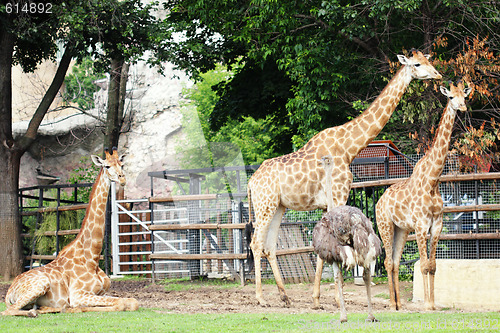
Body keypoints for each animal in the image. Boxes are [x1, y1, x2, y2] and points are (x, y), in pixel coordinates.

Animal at [2, 148, 139, 316]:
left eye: (121, 164)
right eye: (106, 166)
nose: (122, 179)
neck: (92, 258)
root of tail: (9, 290)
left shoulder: (101, 292)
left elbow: (132, 301)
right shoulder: (78, 294)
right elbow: (121, 303)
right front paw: (77, 308)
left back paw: (46, 309)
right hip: (40, 284)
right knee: (8, 311)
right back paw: (37, 312)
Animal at [247, 49, 442, 306]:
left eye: (429, 60)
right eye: (418, 64)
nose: (438, 74)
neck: (350, 148)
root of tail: (251, 182)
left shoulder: (327, 203)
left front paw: (318, 299)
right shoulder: (338, 195)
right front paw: (335, 299)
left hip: (278, 206)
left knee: (269, 246)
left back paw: (285, 297)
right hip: (265, 205)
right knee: (256, 243)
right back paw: (260, 298)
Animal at [376, 81, 470, 310]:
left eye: (464, 96)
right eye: (451, 97)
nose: (462, 107)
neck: (433, 181)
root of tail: (378, 202)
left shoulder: (436, 225)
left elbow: (433, 265)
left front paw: (433, 304)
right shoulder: (420, 225)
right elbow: (424, 265)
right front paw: (427, 305)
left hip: (401, 229)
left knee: (395, 261)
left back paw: (399, 304)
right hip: (385, 225)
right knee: (388, 261)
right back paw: (391, 304)